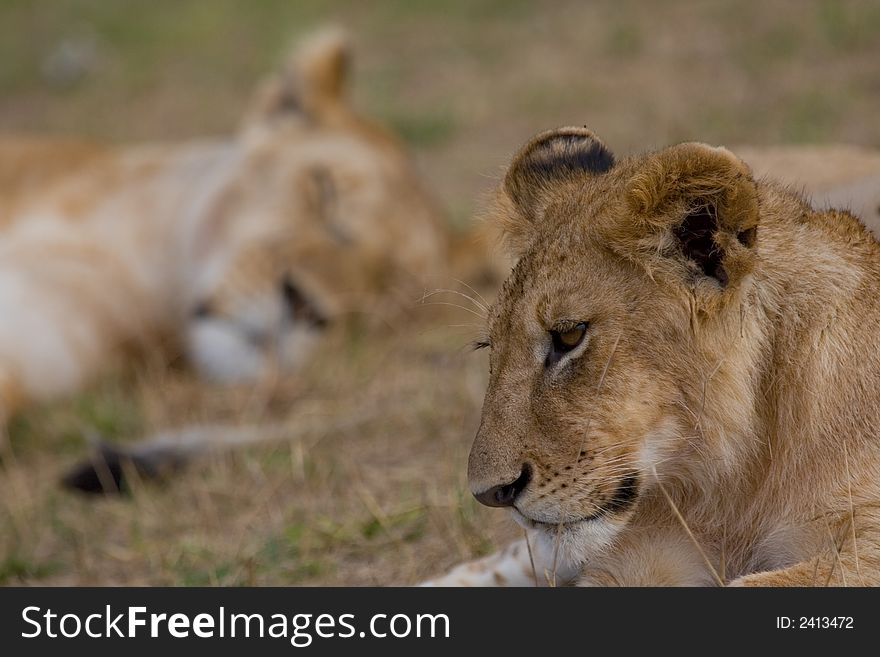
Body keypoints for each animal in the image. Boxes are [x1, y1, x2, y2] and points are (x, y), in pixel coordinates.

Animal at [422, 127, 880, 584]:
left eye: (569, 336)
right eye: (490, 347)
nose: (491, 494)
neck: (736, 481)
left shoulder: (863, 549)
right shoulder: (641, 553)